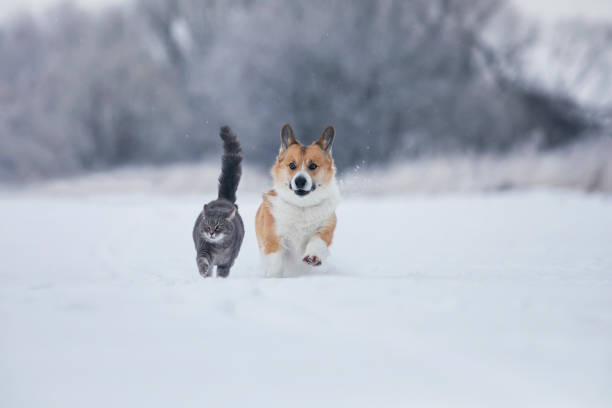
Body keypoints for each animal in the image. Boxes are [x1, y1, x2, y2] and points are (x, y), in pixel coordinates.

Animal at [194, 126, 246, 278]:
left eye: (218, 227)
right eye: (207, 226)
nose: (211, 233)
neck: (219, 247)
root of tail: (222, 198)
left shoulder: (228, 261)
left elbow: (223, 272)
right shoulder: (203, 249)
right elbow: (202, 261)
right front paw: (203, 271)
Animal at [253, 124, 340, 278]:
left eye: (313, 166)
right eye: (292, 165)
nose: (300, 181)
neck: (302, 206)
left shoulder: (326, 228)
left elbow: (317, 242)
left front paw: (313, 256)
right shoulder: (273, 238)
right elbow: (275, 262)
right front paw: (274, 278)